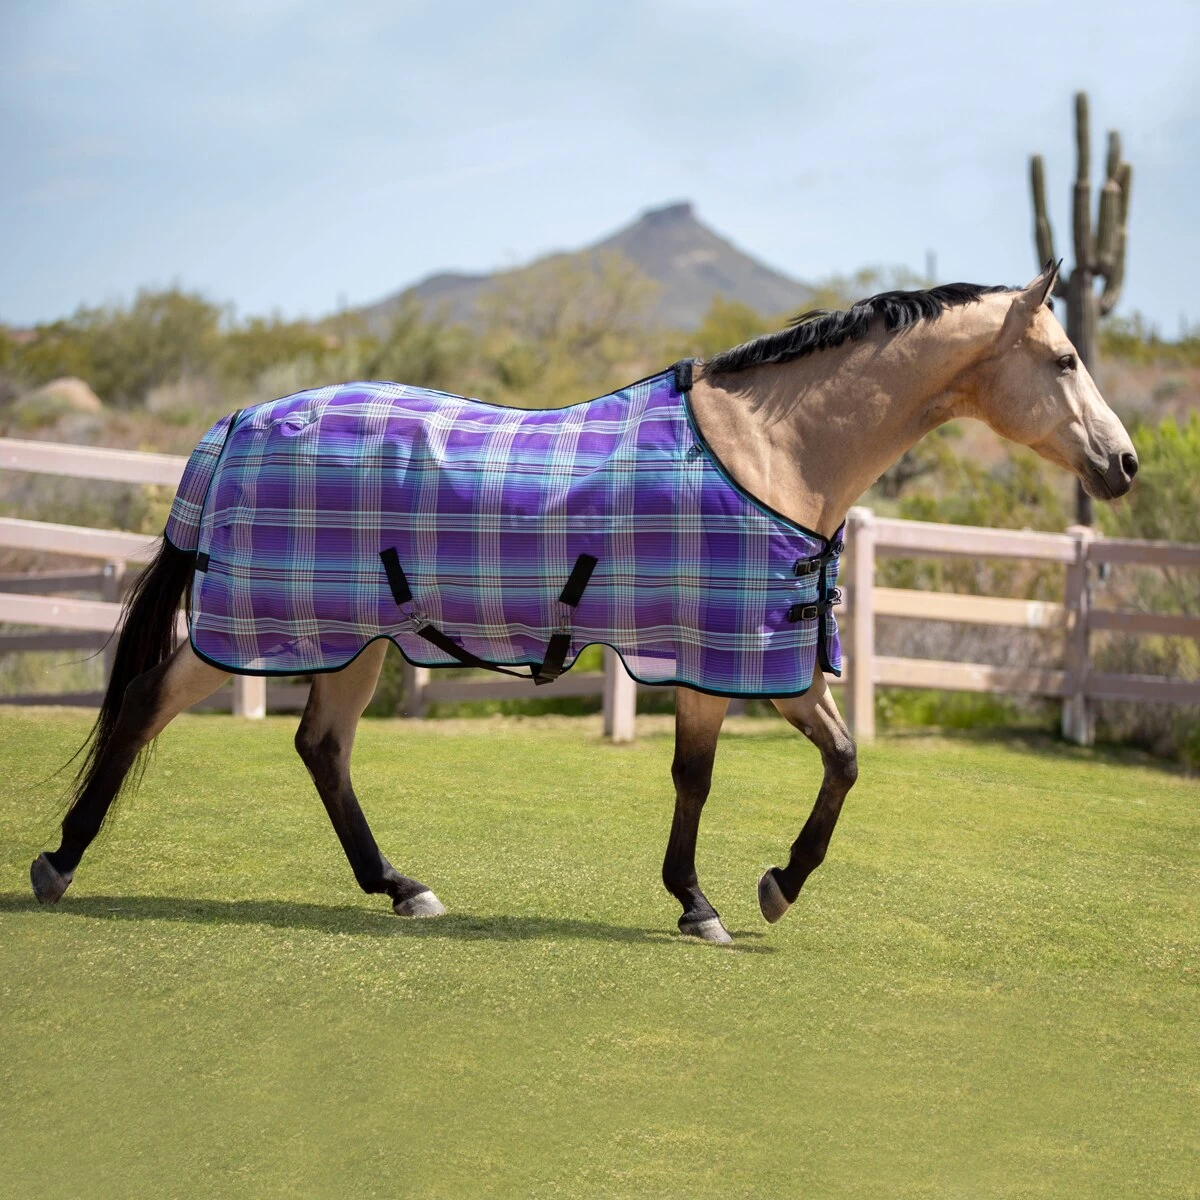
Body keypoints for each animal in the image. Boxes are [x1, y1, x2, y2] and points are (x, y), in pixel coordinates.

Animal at [29, 263, 1138, 944]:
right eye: (1065, 359)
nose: (1123, 465)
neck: (771, 453)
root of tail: (238, 420)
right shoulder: (727, 655)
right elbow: (724, 776)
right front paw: (728, 899)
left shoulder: (754, 658)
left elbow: (832, 761)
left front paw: (758, 890)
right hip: (263, 625)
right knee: (149, 705)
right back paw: (58, 865)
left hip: (356, 636)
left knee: (321, 749)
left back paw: (400, 887)